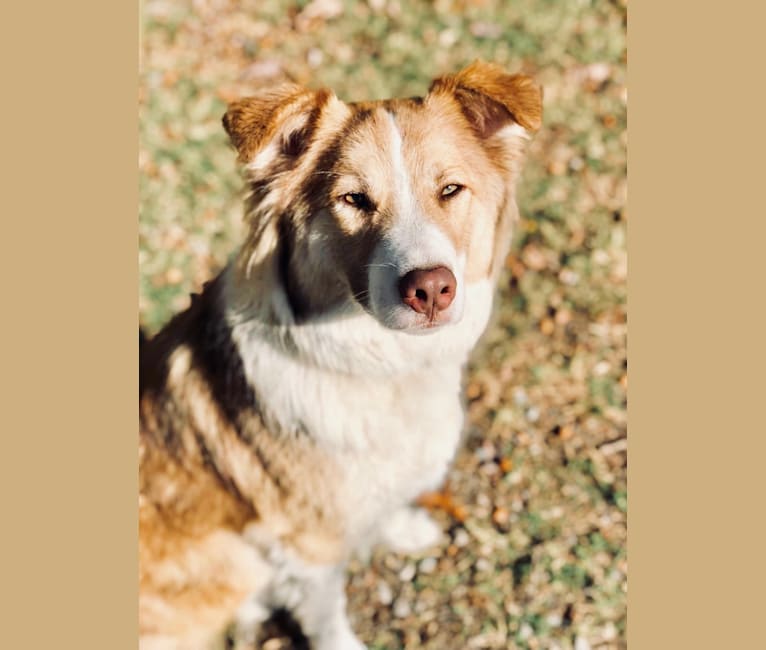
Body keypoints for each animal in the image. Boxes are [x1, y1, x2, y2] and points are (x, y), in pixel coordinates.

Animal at [140, 62, 544, 648]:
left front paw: (402, 527)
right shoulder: (308, 544)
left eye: (450, 189)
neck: (384, 366)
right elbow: (325, 612)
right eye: (354, 200)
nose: (431, 289)